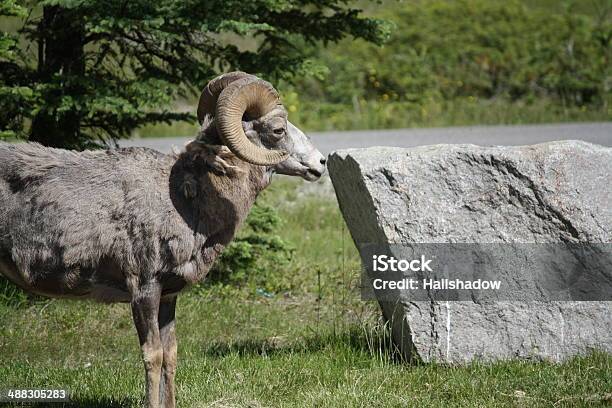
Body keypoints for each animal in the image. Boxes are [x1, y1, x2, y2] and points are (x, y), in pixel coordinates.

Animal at [0, 72, 326, 408]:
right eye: (278, 130)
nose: (321, 163)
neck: (186, 199)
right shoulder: (144, 291)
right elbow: (153, 356)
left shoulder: (168, 296)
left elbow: (170, 355)